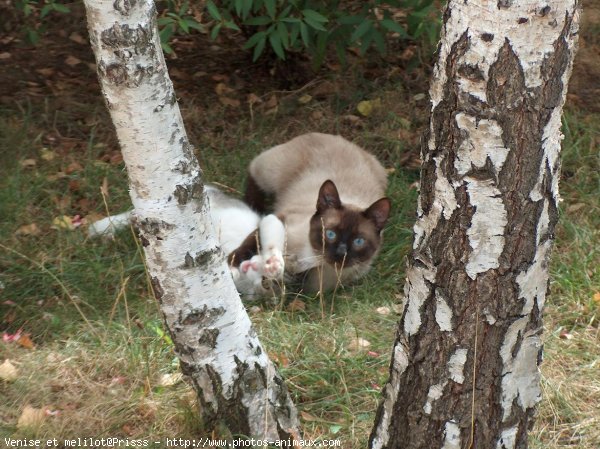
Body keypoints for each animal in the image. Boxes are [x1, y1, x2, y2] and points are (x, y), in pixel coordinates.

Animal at [88, 186, 288, 298]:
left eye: (263, 285)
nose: (252, 268)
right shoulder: (264, 224)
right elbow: (272, 226)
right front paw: (274, 263)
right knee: (133, 213)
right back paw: (102, 226)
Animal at [246, 131, 392, 290]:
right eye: (330, 234)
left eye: (358, 241)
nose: (341, 253)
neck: (314, 259)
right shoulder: (281, 218)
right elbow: (249, 245)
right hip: (271, 173)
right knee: (253, 168)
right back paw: (254, 205)